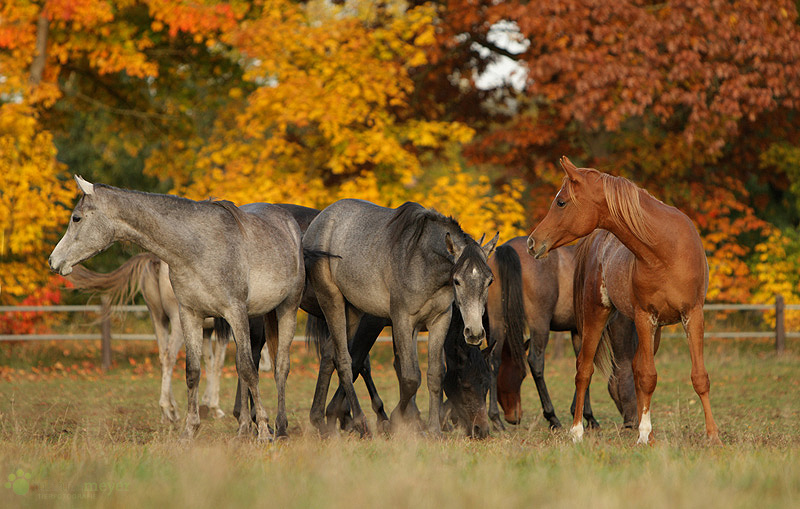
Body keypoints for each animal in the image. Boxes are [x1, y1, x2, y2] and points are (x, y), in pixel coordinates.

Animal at [66, 254, 228, 420]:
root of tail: (156, 260)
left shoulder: (206, 330)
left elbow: (209, 361)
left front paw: (206, 403)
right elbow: (218, 364)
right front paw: (214, 407)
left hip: (158, 318)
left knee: (163, 356)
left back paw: (171, 410)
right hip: (177, 321)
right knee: (169, 357)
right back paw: (166, 408)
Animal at [304, 200, 496, 434]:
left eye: (489, 280)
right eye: (457, 280)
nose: (475, 333)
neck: (422, 262)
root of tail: (320, 220)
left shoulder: (438, 321)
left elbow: (434, 375)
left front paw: (433, 430)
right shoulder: (401, 321)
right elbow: (409, 377)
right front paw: (397, 421)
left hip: (353, 312)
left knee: (330, 354)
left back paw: (321, 421)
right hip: (332, 302)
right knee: (343, 359)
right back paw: (358, 421)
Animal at [488, 237, 636, 428]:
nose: (631, 422)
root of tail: (506, 247)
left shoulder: (577, 332)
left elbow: (582, 365)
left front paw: (584, 414)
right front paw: (588, 418)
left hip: (497, 321)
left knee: (493, 361)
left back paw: (496, 420)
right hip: (539, 323)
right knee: (536, 363)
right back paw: (552, 418)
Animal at [528, 157, 720, 442]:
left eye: (561, 202)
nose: (532, 242)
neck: (665, 250)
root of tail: (597, 239)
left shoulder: (693, 314)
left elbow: (699, 377)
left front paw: (712, 435)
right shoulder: (644, 316)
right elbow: (648, 376)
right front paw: (643, 434)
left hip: (655, 330)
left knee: (634, 368)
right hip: (597, 315)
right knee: (584, 370)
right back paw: (577, 431)